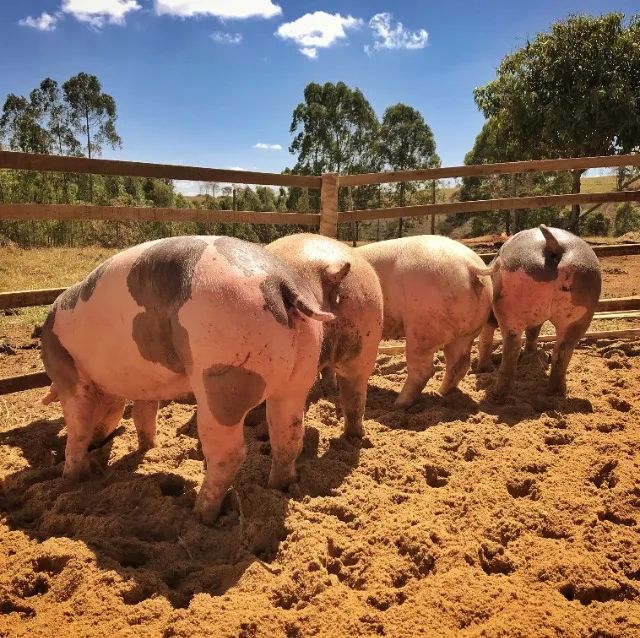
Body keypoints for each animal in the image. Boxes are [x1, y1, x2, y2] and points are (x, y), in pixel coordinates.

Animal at [40, 235, 334, 524]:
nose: (97, 444)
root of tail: (280, 282)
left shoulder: (67, 375)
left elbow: (77, 427)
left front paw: (70, 477)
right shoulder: (145, 382)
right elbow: (143, 414)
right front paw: (147, 448)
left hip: (221, 374)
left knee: (229, 453)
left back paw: (200, 514)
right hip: (300, 374)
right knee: (289, 436)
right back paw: (278, 486)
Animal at [356, 236, 498, 408]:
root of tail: (470, 265)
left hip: (422, 328)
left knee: (424, 369)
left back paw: (399, 403)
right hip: (467, 331)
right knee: (459, 363)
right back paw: (440, 393)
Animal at [477, 225, 601, 399]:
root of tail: (554, 247)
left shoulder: (489, 318)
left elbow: (485, 340)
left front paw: (482, 370)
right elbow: (533, 332)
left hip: (510, 311)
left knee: (512, 347)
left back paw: (498, 395)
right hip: (582, 313)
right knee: (563, 351)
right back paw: (557, 392)